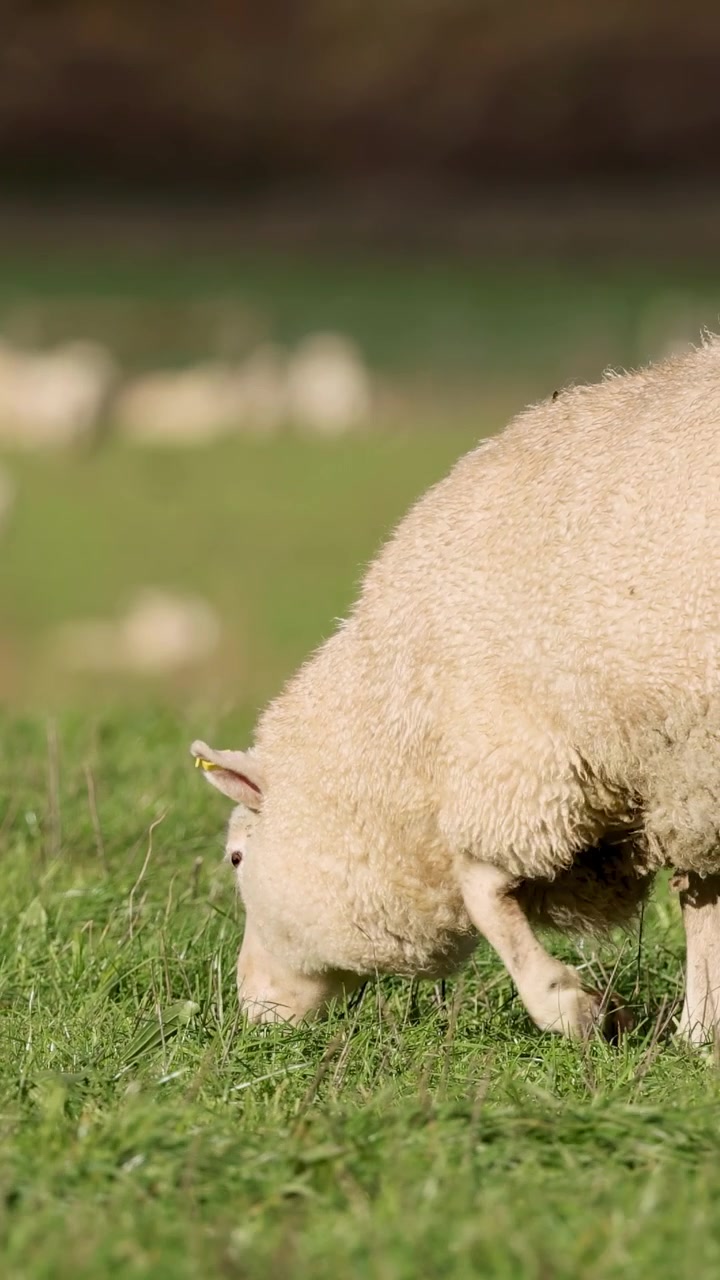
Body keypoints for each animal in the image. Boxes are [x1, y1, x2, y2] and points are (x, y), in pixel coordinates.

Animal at [192, 338, 720, 1045]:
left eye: (236, 859)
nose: (251, 1010)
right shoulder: (677, 773)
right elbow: (702, 902)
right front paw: (699, 1031)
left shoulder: (526, 755)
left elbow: (479, 886)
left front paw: (569, 1006)